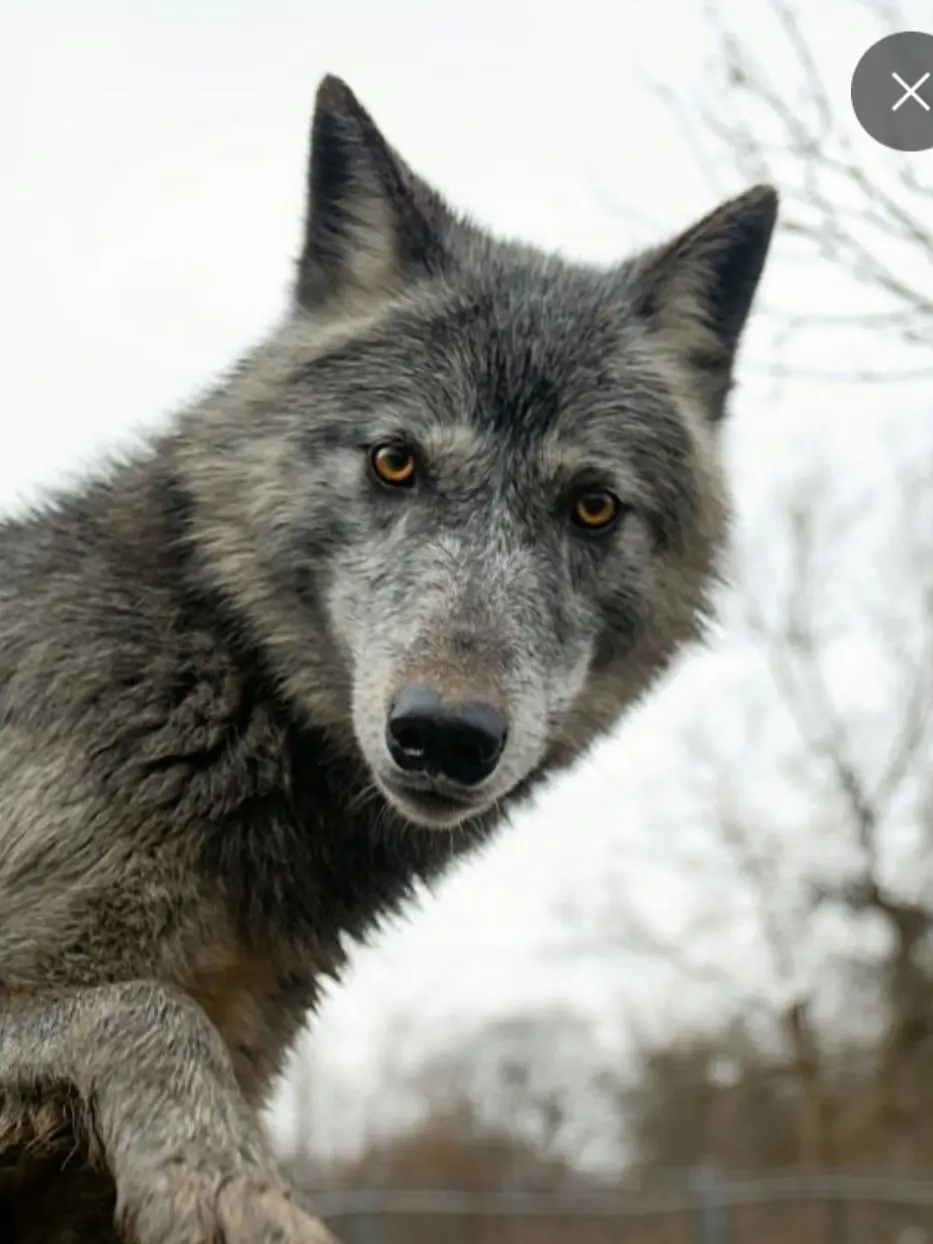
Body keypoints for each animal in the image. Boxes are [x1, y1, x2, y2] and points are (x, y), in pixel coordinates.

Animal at [0, 73, 777, 1243]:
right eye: (395, 462)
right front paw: (235, 1194)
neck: (209, 678)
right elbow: (148, 1008)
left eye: (593, 506)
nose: (446, 736)